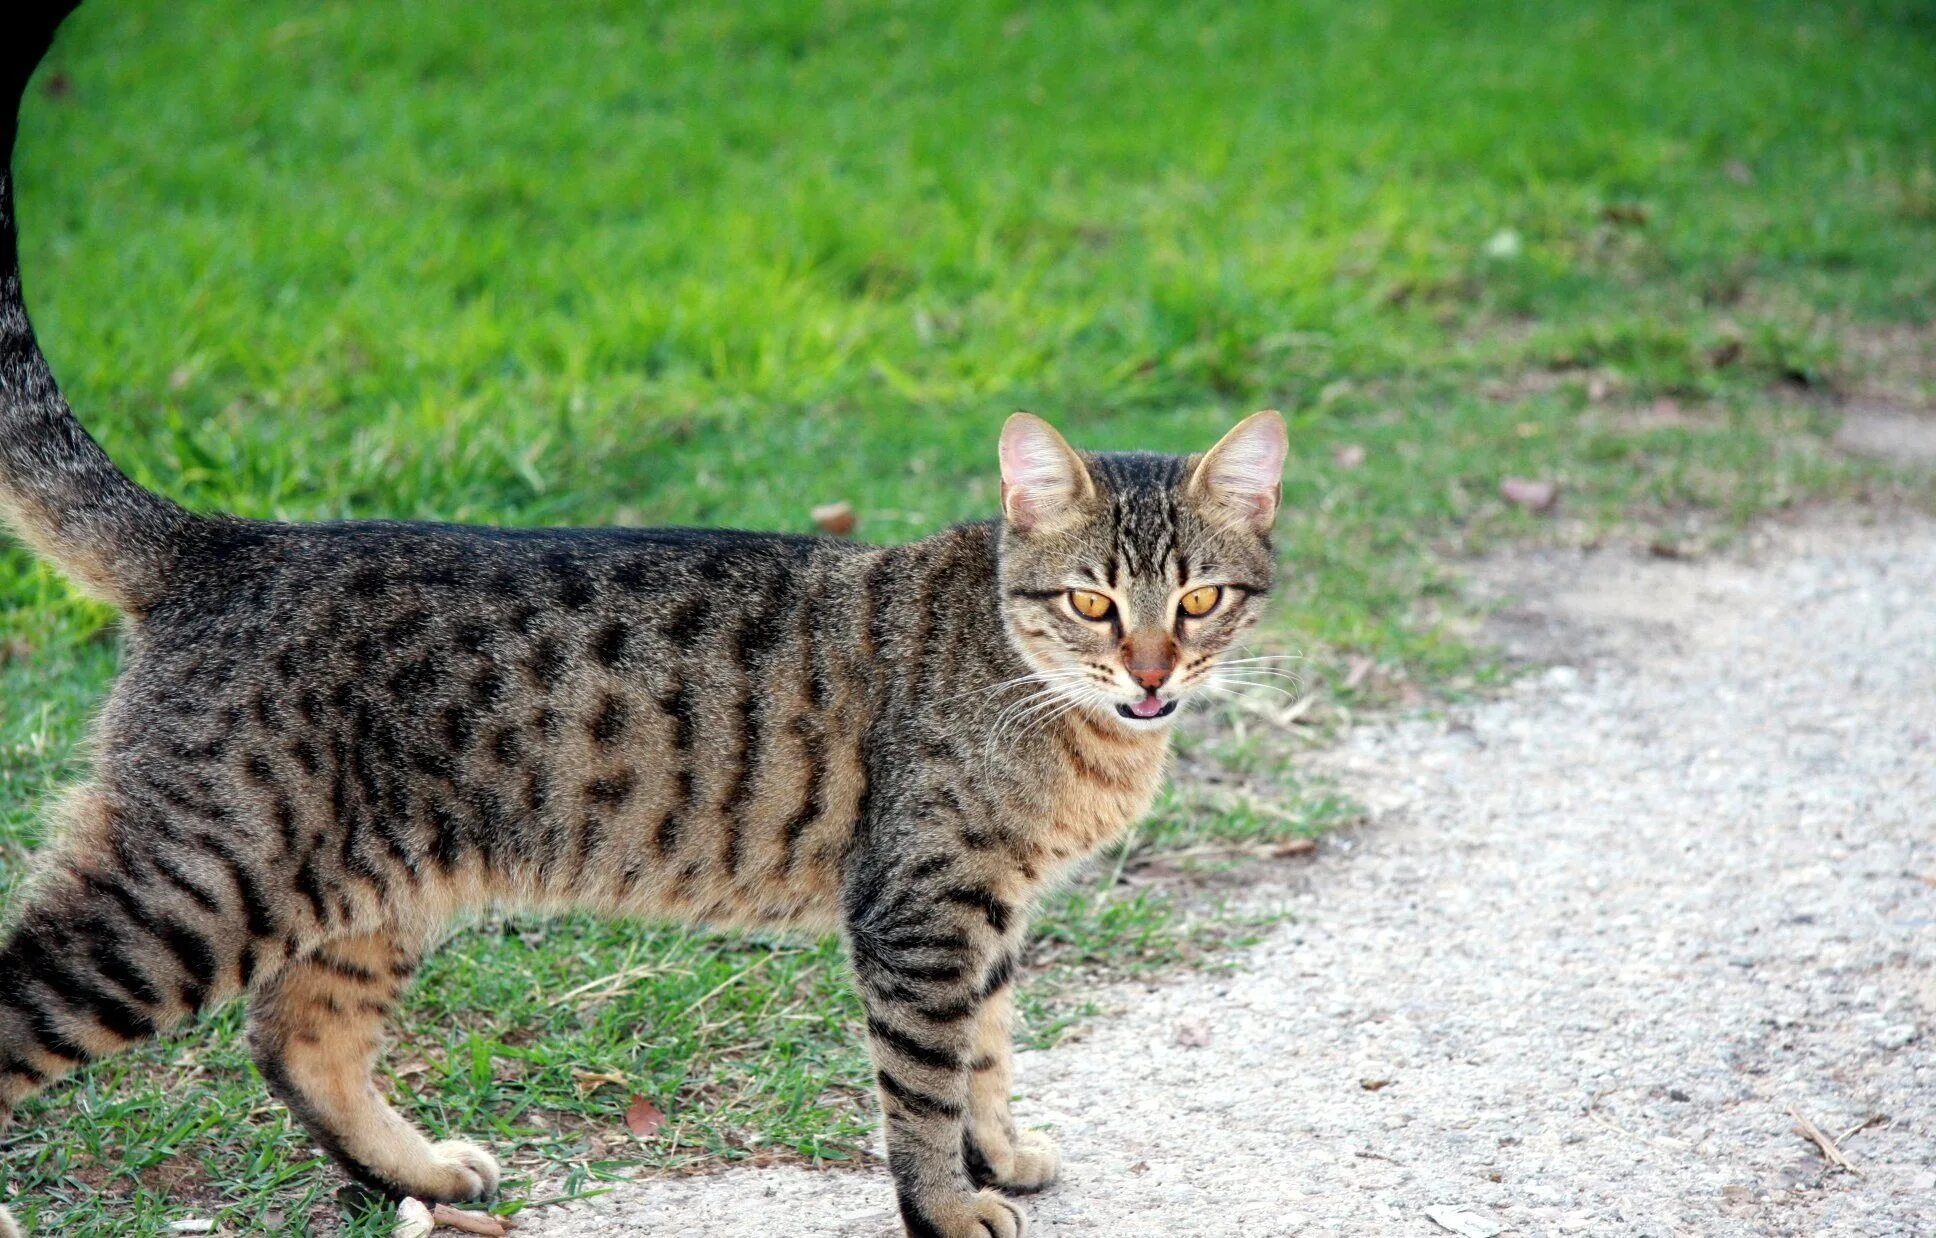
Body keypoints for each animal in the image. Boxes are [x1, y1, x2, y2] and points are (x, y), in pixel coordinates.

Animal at [0, 12, 1285, 1238]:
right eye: (1091, 601)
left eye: (1198, 599)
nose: (1152, 673)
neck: (1070, 723)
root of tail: (227, 541)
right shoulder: (922, 910)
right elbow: (925, 1084)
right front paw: (948, 1203)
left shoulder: (991, 911)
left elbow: (989, 1053)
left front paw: (1000, 1151)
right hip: (192, 892)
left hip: (374, 894)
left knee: (296, 1037)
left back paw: (418, 1170)